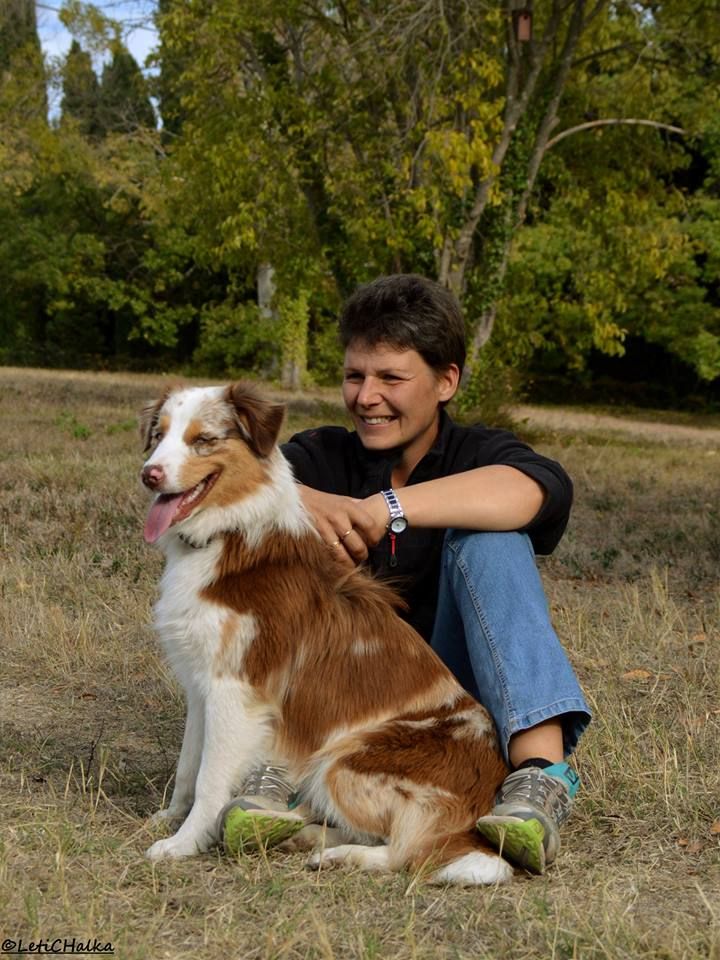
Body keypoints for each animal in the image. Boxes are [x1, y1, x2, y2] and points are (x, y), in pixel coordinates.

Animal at [139, 382, 513, 884]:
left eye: (204, 440)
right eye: (159, 436)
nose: (150, 475)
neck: (232, 533)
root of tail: (483, 796)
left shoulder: (237, 690)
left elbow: (210, 778)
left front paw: (183, 843)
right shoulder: (202, 685)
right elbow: (187, 766)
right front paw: (170, 817)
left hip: (345, 759)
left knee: (410, 850)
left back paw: (336, 854)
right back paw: (296, 831)